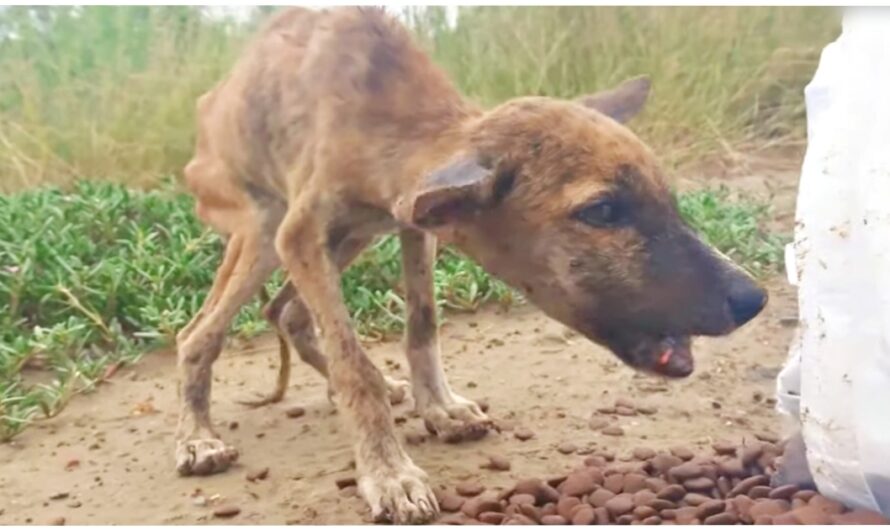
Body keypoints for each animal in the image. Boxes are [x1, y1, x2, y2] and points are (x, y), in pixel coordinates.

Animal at [175, 6, 764, 520]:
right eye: (601, 211)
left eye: (668, 199)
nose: (753, 299)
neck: (383, 114)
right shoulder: (303, 234)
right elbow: (354, 363)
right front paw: (389, 473)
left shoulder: (415, 225)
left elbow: (422, 324)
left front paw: (439, 406)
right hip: (263, 230)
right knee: (199, 333)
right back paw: (198, 437)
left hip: (347, 241)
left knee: (286, 311)